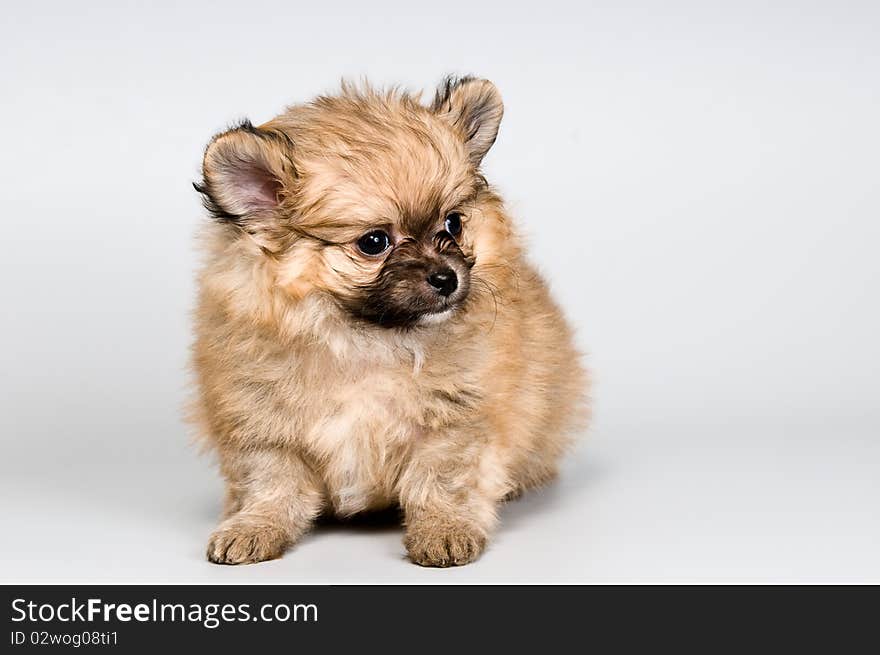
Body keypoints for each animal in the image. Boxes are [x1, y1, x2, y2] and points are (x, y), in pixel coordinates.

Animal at [193, 78, 592, 568]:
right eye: (374, 242)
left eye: (453, 224)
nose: (446, 277)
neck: (366, 341)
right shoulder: (262, 422)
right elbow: (270, 484)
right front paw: (253, 527)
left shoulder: (454, 420)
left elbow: (441, 481)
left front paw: (444, 530)